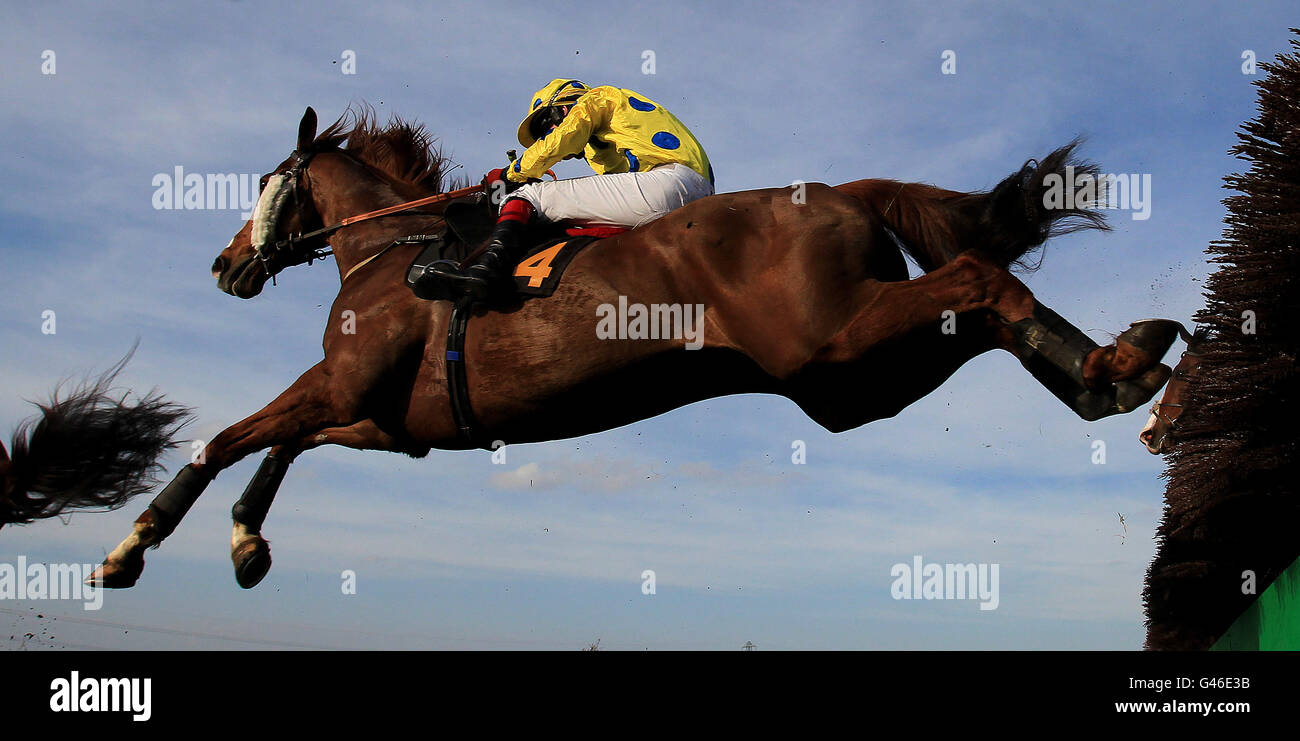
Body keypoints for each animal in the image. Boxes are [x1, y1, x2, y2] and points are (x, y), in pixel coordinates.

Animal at [81, 105, 1180, 587]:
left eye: (269, 183)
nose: (226, 264)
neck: (392, 249)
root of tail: (841, 190)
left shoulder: (344, 381)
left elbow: (230, 435)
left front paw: (130, 546)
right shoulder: (390, 418)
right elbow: (282, 444)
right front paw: (247, 540)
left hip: (827, 344)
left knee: (981, 279)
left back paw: (1118, 366)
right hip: (846, 380)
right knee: (982, 311)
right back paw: (1115, 371)